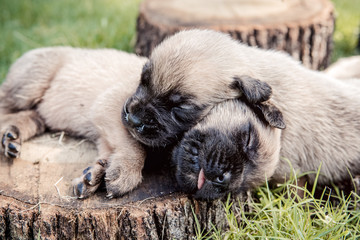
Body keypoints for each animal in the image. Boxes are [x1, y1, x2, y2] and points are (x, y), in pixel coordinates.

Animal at [0, 47, 148, 199]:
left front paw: (93, 176)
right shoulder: (113, 105)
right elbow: (134, 144)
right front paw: (123, 175)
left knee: (30, 117)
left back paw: (12, 139)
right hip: (32, 82)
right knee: (5, 106)